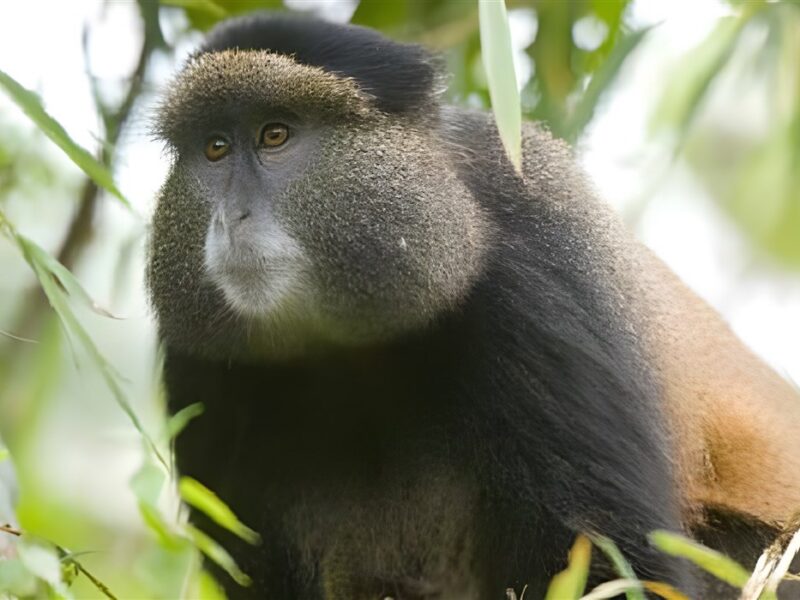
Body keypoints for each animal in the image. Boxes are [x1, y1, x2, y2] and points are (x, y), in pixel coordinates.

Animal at [147, 13, 800, 599]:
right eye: (214, 148)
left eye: (275, 135)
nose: (231, 218)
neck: (355, 346)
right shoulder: (201, 365)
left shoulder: (534, 278)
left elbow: (619, 565)